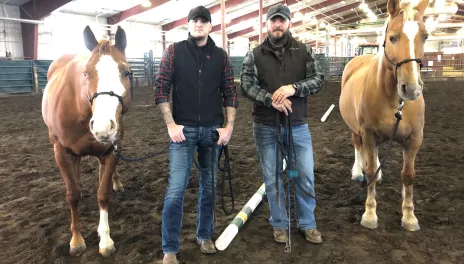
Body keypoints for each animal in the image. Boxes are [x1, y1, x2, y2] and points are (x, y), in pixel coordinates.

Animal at [41, 25, 131, 256]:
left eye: (126, 72)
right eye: (86, 73)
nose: (102, 126)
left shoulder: (111, 150)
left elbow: (103, 194)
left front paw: (105, 240)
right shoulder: (61, 152)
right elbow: (73, 195)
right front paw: (76, 240)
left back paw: (116, 182)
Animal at [338, 0, 430, 231]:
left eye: (425, 36)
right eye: (393, 38)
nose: (411, 89)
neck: (393, 100)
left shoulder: (414, 139)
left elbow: (408, 175)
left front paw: (409, 217)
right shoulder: (369, 134)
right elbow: (370, 171)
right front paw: (370, 214)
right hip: (355, 129)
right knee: (358, 146)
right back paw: (357, 171)